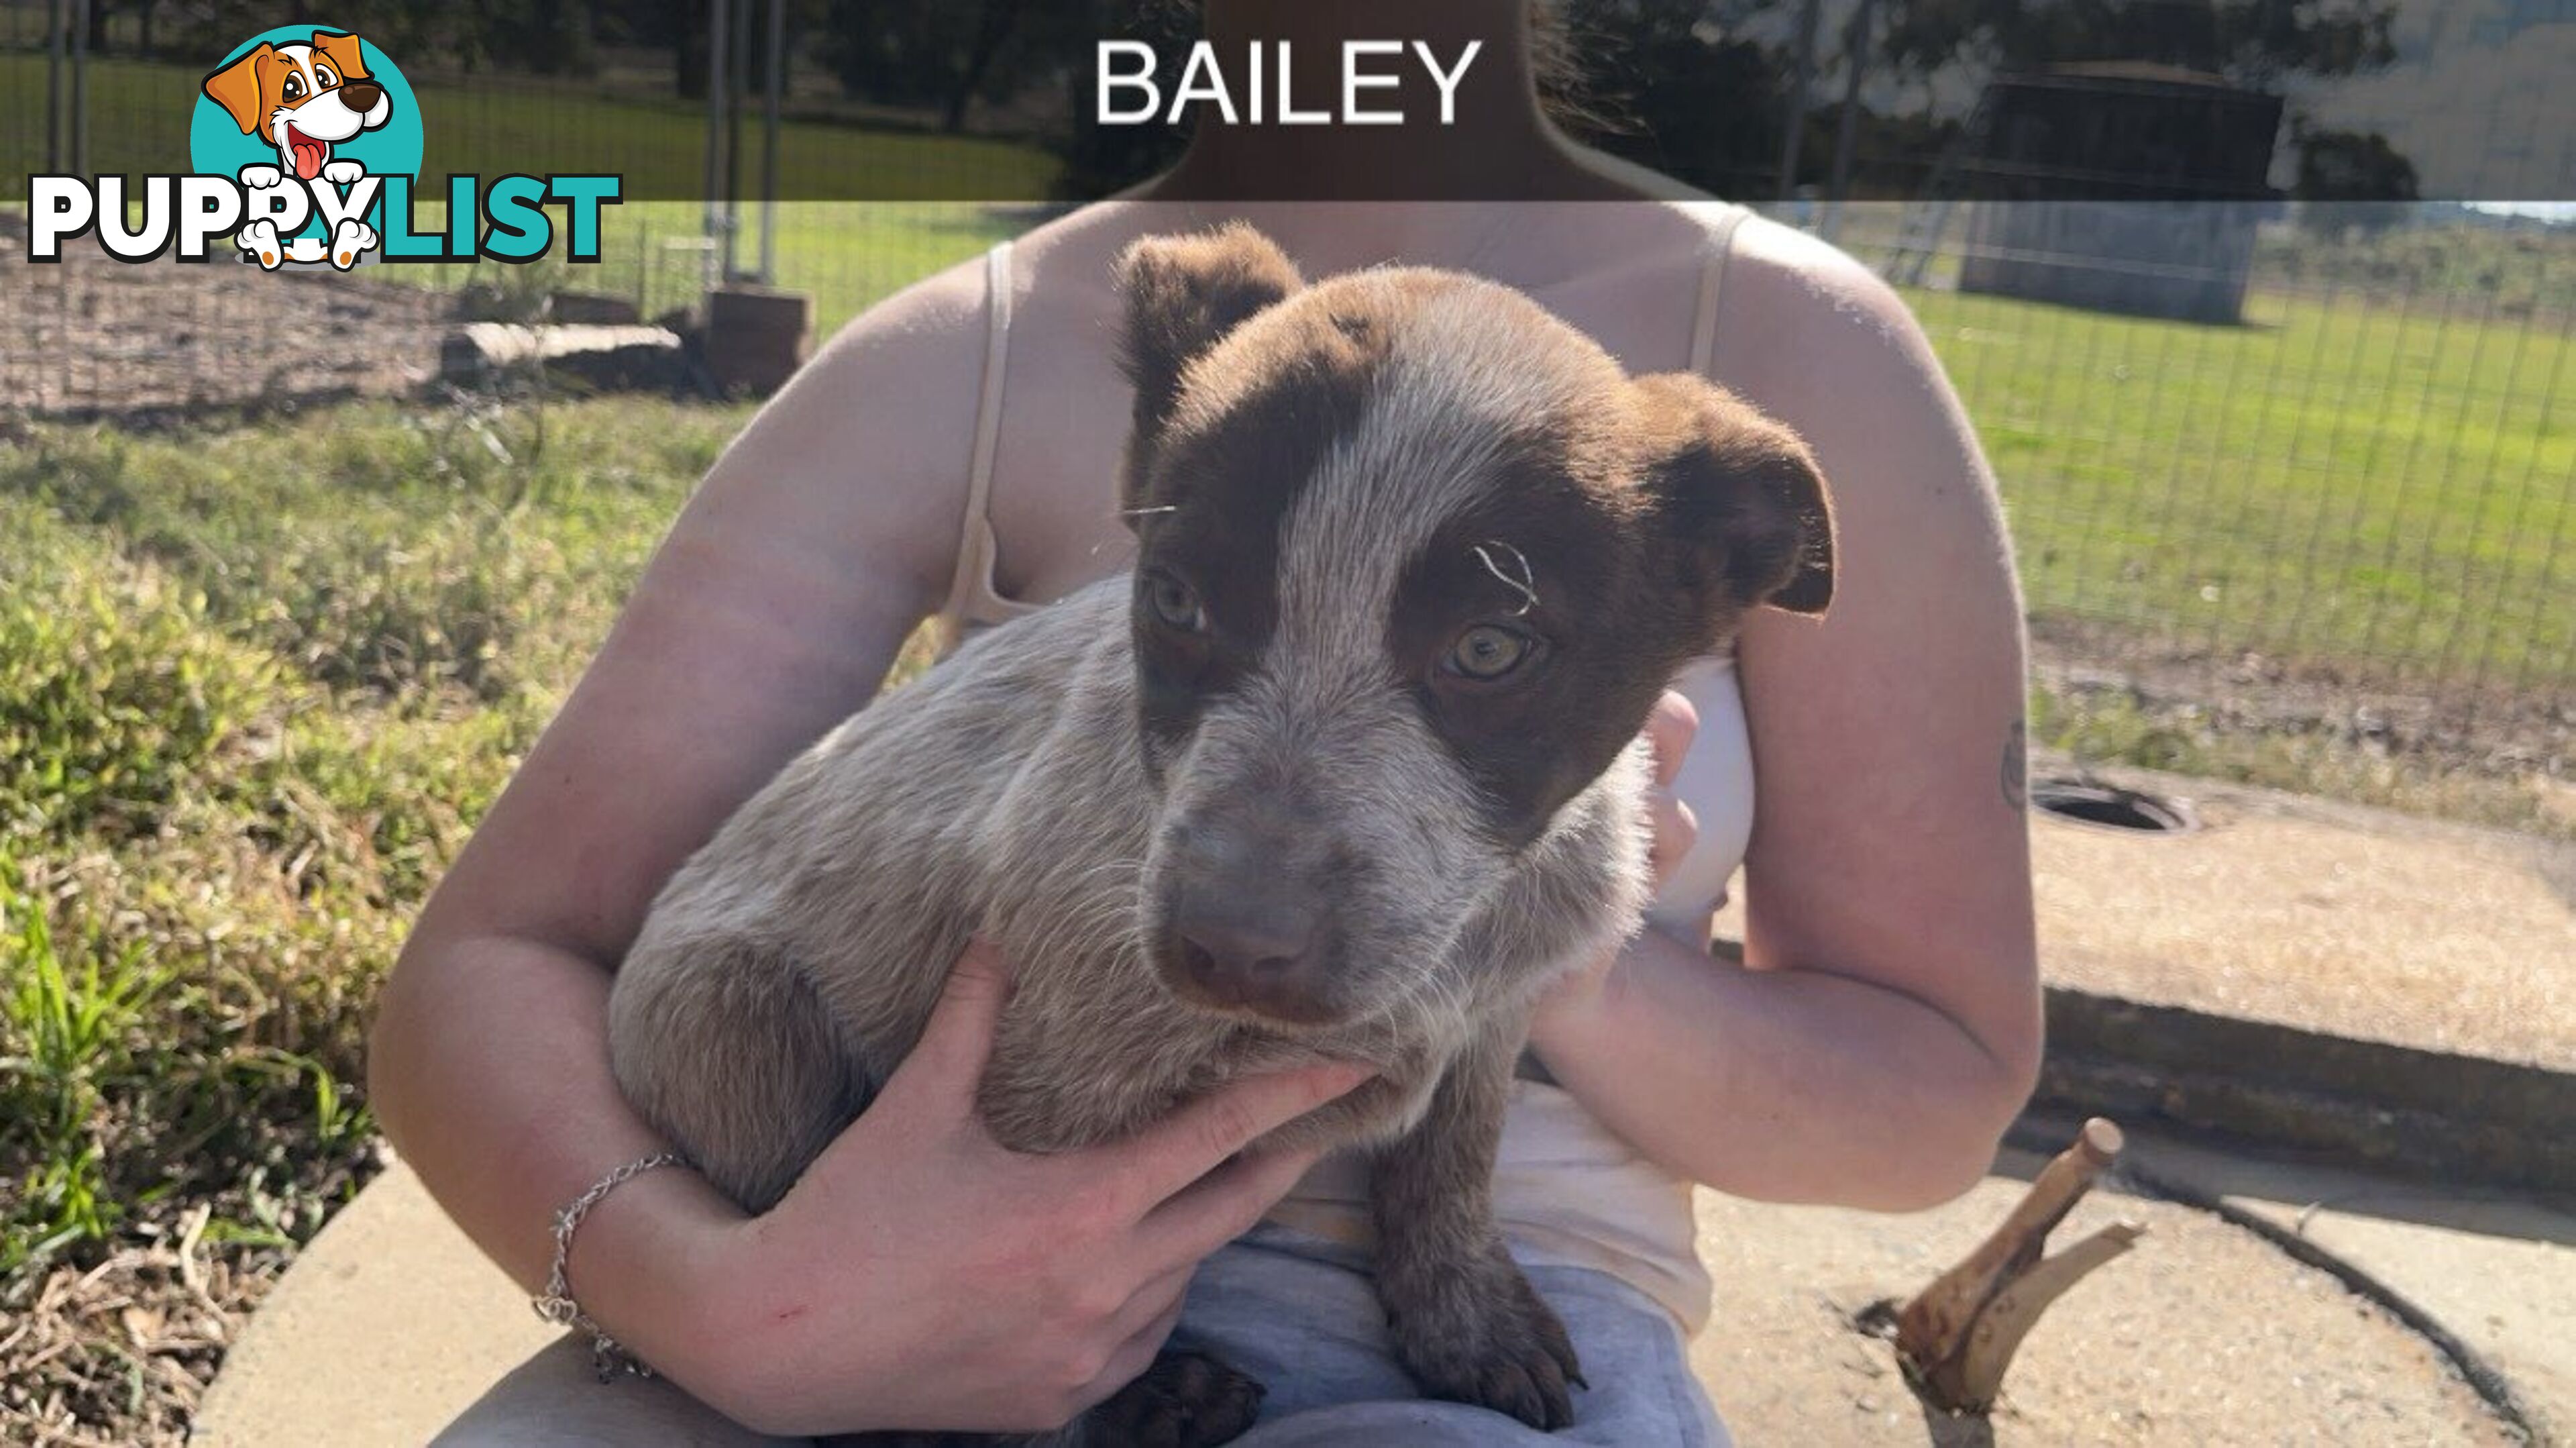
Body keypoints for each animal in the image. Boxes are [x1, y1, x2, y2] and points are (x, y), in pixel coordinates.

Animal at [608, 225, 1834, 1443]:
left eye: (1491, 648)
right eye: (1177, 600)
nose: (1227, 949)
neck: (1447, 957)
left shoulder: (1498, 1009)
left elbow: (1453, 1157)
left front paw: (1465, 1315)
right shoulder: (1036, 1125)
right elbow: (997, 1362)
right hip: (737, 1017)